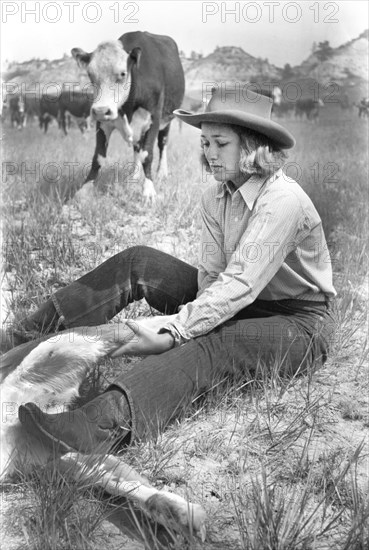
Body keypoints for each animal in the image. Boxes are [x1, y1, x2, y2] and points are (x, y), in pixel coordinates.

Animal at [70, 29, 184, 205]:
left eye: (123, 73)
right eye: (90, 74)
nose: (101, 110)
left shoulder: (154, 119)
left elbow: (147, 155)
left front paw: (148, 191)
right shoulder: (103, 123)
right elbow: (98, 157)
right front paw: (84, 190)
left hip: (168, 118)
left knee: (162, 143)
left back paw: (162, 173)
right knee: (137, 147)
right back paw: (135, 175)